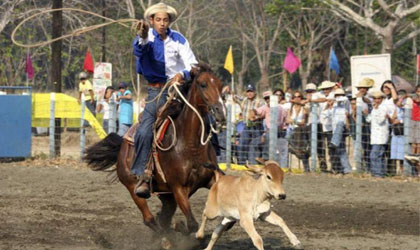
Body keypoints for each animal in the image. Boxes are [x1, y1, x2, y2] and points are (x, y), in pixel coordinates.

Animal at [84, 64, 226, 236]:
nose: (220, 112)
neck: (191, 145)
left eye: (220, 85)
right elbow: (192, 224)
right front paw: (181, 229)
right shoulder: (178, 188)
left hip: (166, 195)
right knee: (150, 219)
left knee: (163, 216)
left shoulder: (210, 180)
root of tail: (122, 144)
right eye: (203, 84)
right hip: (133, 186)